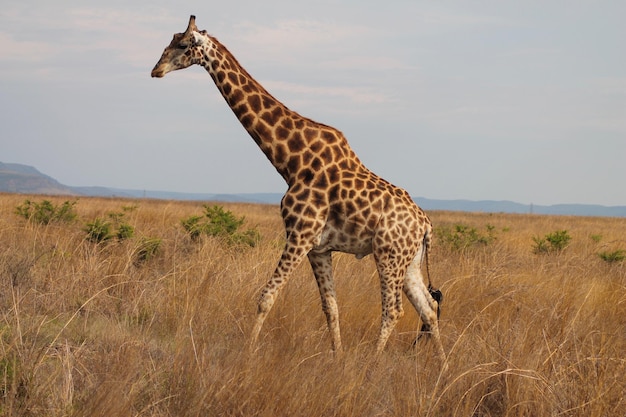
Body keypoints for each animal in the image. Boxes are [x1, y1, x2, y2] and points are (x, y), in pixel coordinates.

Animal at [151, 15, 444, 360]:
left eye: (183, 44)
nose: (156, 70)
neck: (291, 162)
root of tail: (425, 226)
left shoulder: (299, 235)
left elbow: (266, 296)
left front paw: (248, 353)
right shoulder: (318, 248)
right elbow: (330, 307)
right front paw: (337, 357)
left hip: (389, 254)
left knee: (394, 309)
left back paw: (374, 362)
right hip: (408, 260)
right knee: (428, 307)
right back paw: (442, 366)